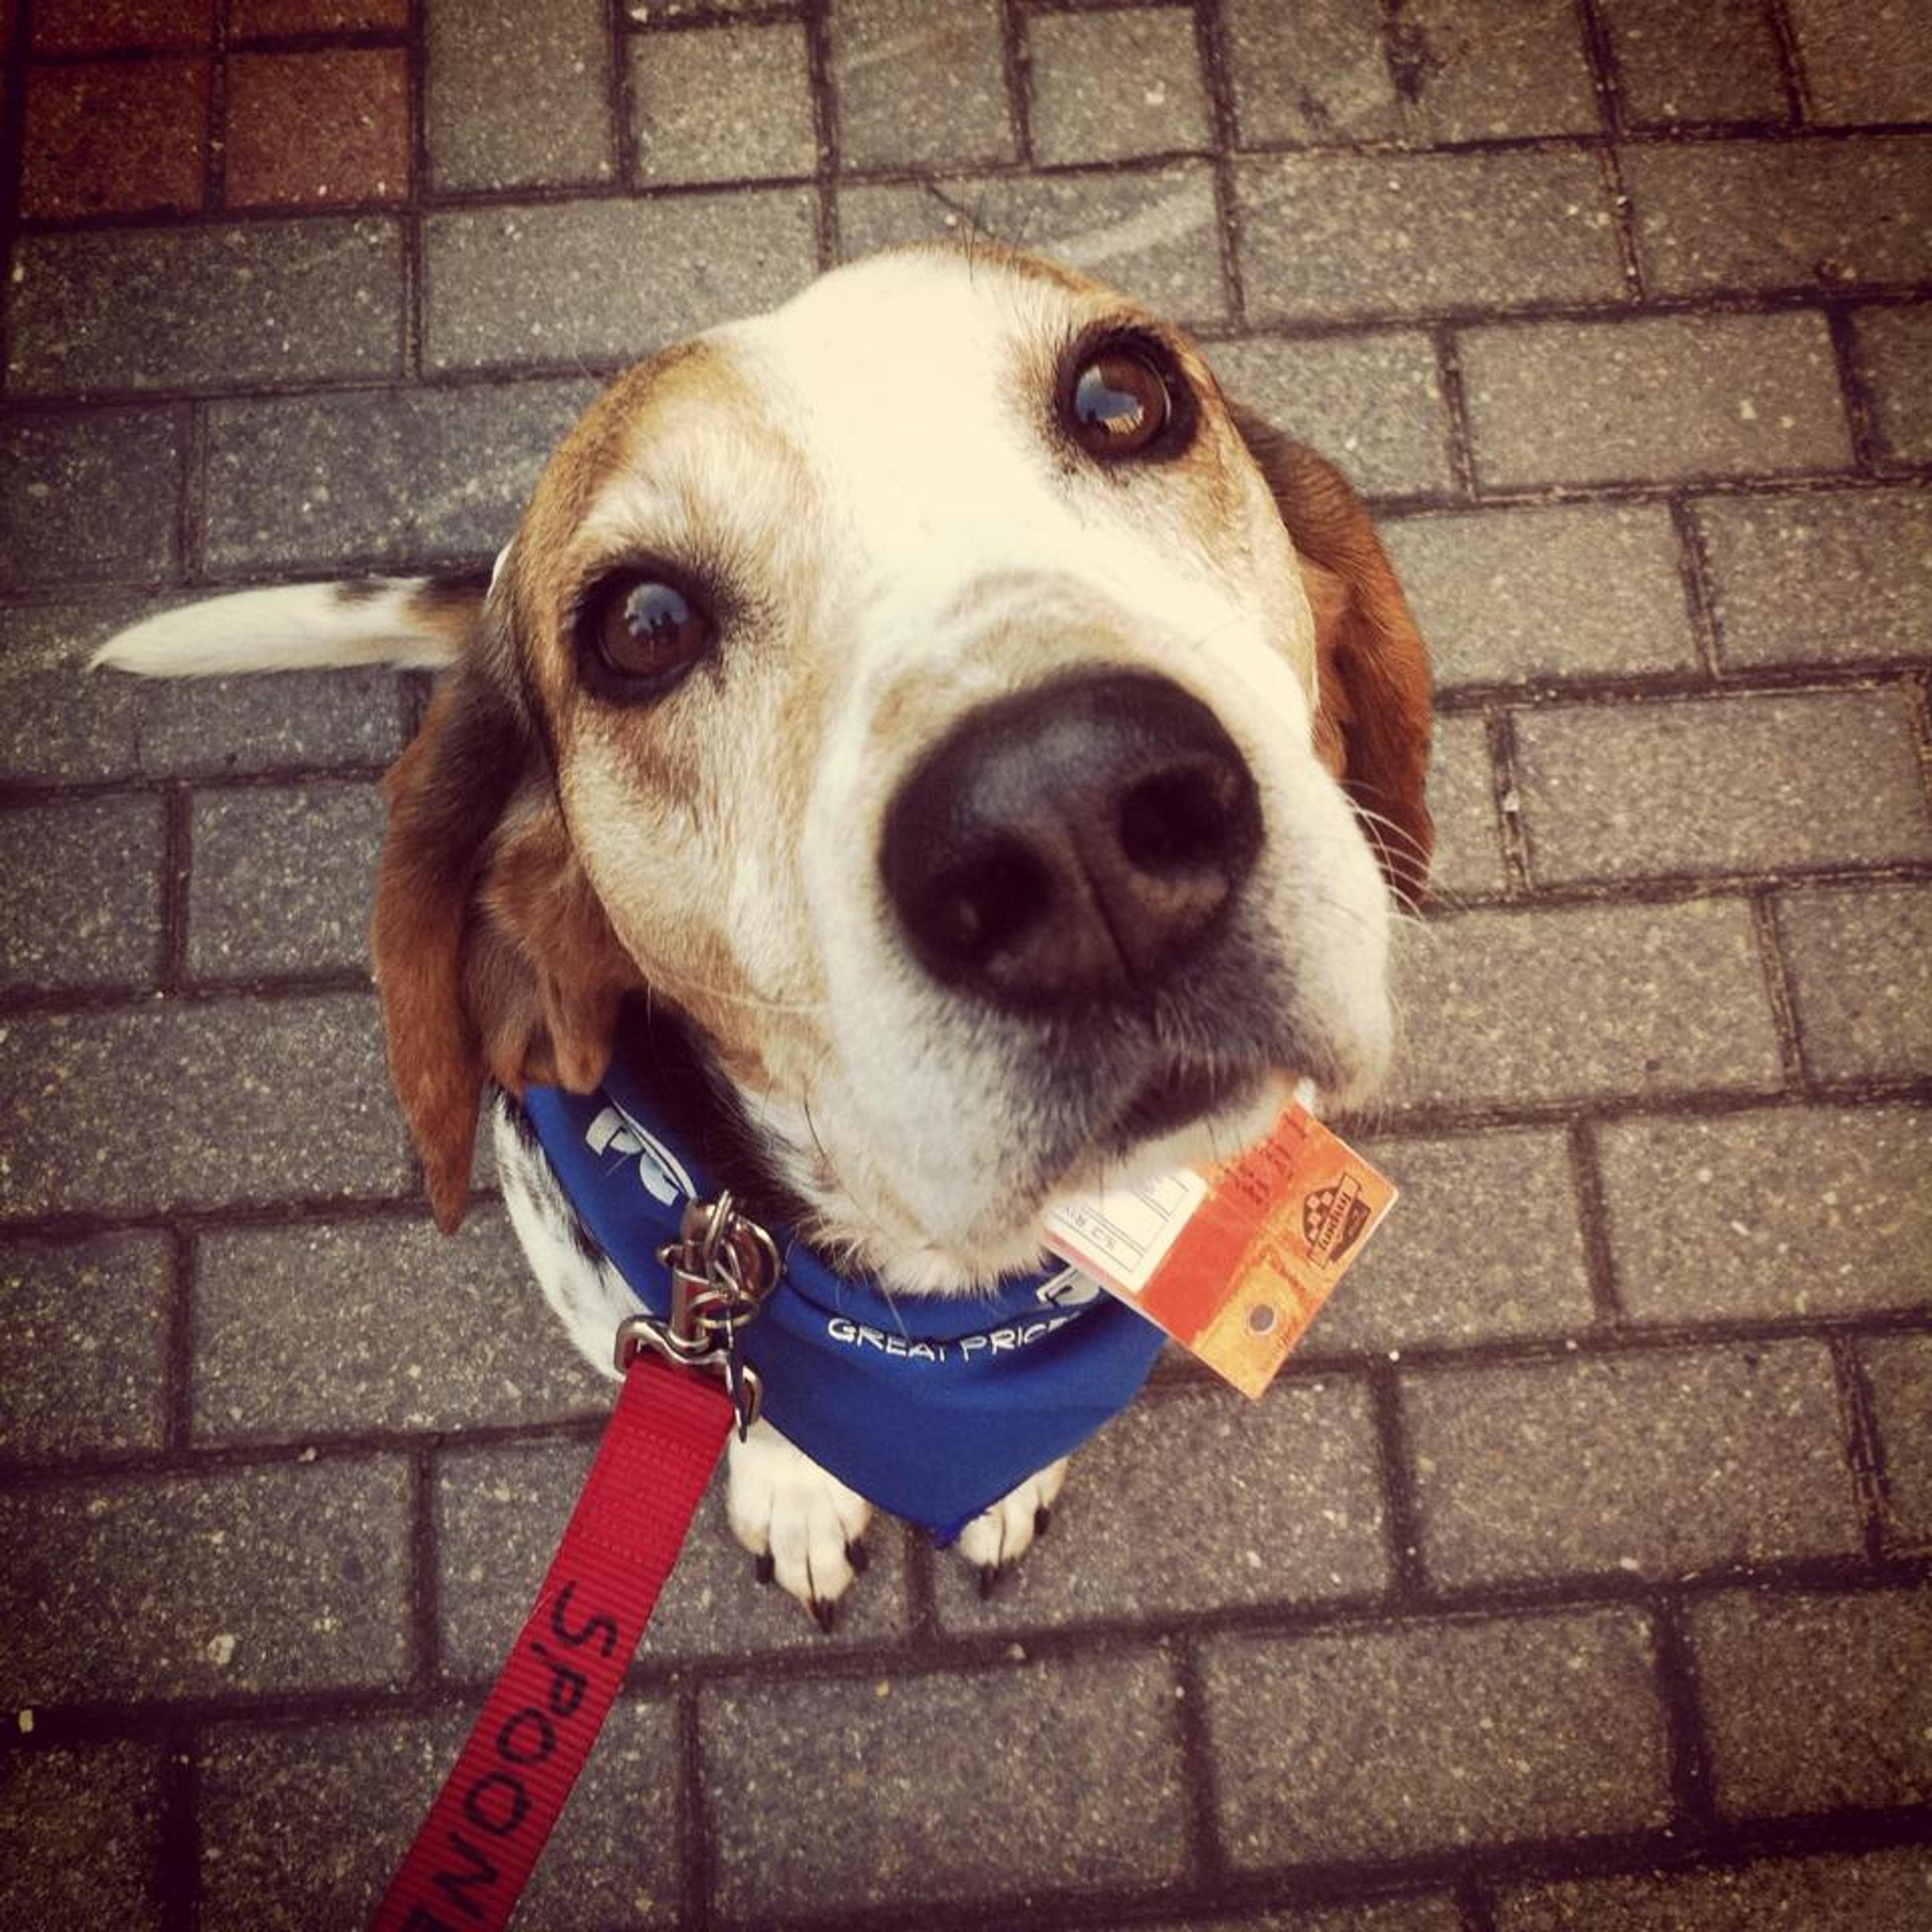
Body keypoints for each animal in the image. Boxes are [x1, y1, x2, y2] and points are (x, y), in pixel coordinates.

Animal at [106, 249, 1437, 1623]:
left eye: (1123, 398)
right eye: (641, 625)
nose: (1066, 819)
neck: (931, 1315)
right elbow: (756, 1411)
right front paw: (794, 1489)